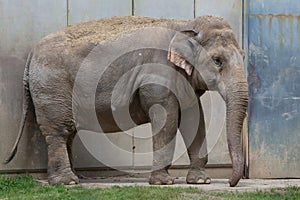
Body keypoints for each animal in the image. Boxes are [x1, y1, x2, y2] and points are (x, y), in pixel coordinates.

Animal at [5, 15, 248, 186]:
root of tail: (31, 54)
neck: (184, 24)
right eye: (217, 61)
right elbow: (167, 120)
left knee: (68, 132)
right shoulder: (156, 75)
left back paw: (74, 178)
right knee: (58, 131)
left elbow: (194, 120)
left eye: (244, 56)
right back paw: (67, 182)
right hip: (51, 87)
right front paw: (163, 182)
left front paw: (200, 180)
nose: (230, 183)